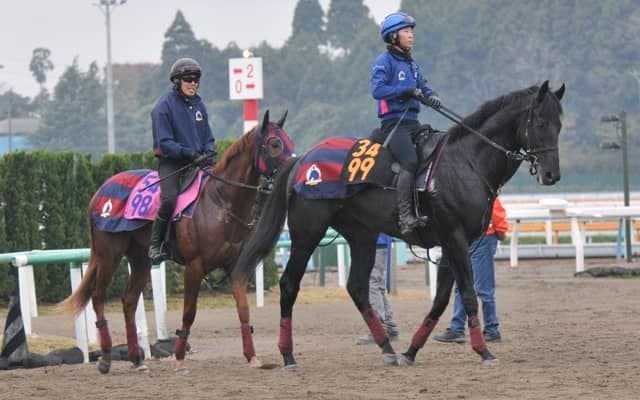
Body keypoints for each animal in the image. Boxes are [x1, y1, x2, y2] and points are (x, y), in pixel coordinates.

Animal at [59, 110, 294, 374]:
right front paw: (180, 358)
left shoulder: (234, 265)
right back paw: (106, 358)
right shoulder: (194, 266)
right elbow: (189, 313)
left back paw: (137, 359)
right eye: (274, 143)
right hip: (109, 254)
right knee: (98, 298)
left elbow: (243, 309)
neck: (220, 202)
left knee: (128, 301)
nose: (293, 164)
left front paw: (252, 356)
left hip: (140, 259)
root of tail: (100, 193)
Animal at [232, 81, 565, 368]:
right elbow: (468, 293)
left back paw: (387, 348)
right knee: (290, 284)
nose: (552, 175)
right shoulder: (455, 238)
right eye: (540, 123)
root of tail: (303, 161)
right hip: (307, 233)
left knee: (357, 288)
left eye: (559, 125)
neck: (466, 161)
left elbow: (441, 299)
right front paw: (483, 350)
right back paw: (287, 355)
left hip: (362, 235)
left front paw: (411, 350)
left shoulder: (455, 243)